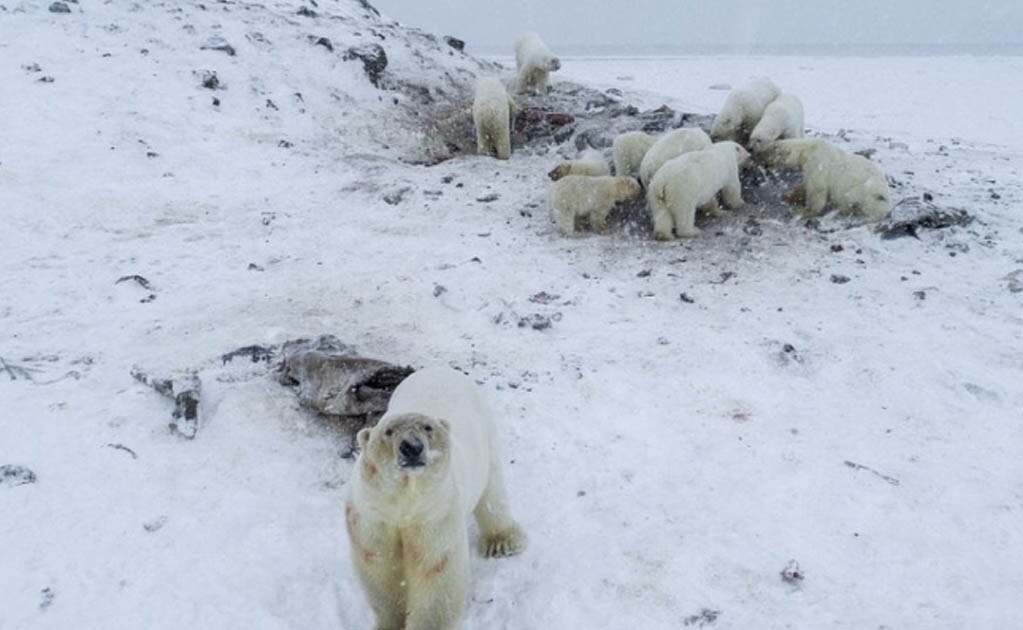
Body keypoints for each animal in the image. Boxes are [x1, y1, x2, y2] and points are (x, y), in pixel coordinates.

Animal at [345, 366, 526, 630]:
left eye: (428, 428)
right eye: (388, 432)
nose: (412, 447)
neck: (404, 502)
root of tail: (440, 368)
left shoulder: (435, 516)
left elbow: (435, 572)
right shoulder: (372, 517)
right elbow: (381, 568)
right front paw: (389, 623)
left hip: (485, 433)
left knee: (492, 489)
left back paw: (502, 542)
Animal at [763, 138, 892, 221]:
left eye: (768, 153)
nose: (764, 164)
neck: (808, 150)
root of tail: (886, 197)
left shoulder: (817, 163)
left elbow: (816, 190)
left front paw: (805, 210)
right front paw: (788, 196)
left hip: (864, 193)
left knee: (850, 200)